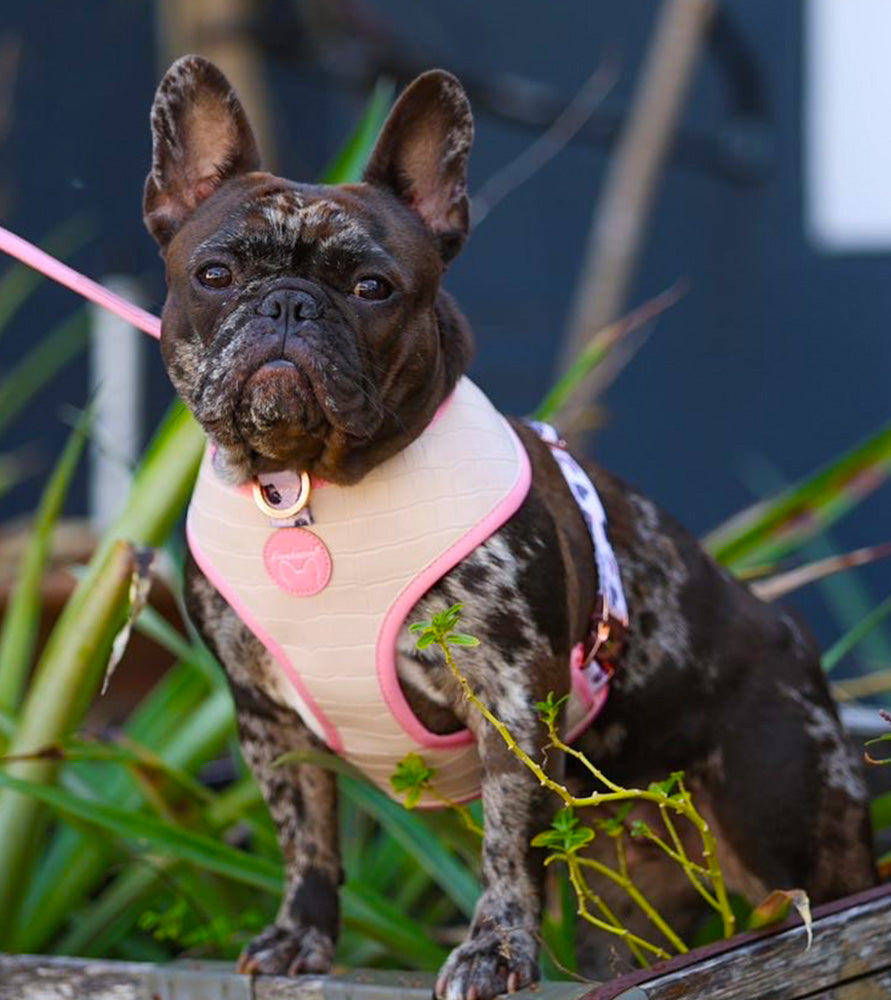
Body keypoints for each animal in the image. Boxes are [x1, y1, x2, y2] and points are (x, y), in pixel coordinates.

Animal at [143, 56, 876, 1000]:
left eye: (372, 288)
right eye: (216, 274)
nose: (289, 306)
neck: (309, 485)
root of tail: (786, 627)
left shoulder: (512, 698)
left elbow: (507, 842)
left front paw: (492, 951)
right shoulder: (268, 717)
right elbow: (305, 834)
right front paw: (298, 936)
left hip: (785, 819)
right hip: (634, 880)